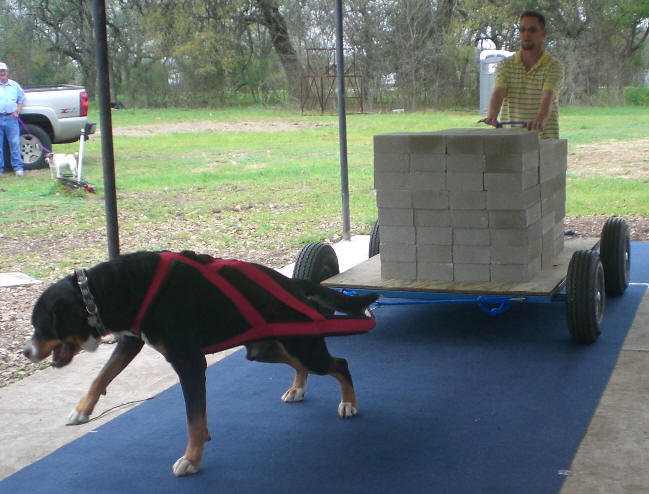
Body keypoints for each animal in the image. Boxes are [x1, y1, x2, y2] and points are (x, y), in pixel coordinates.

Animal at [24, 253, 374, 476]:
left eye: (41, 326)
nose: (26, 352)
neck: (112, 289)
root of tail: (293, 285)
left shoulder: (189, 363)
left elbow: (193, 419)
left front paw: (191, 460)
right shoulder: (131, 341)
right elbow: (102, 375)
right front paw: (82, 410)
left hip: (304, 347)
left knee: (340, 364)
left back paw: (349, 403)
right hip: (266, 348)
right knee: (299, 364)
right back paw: (297, 387)